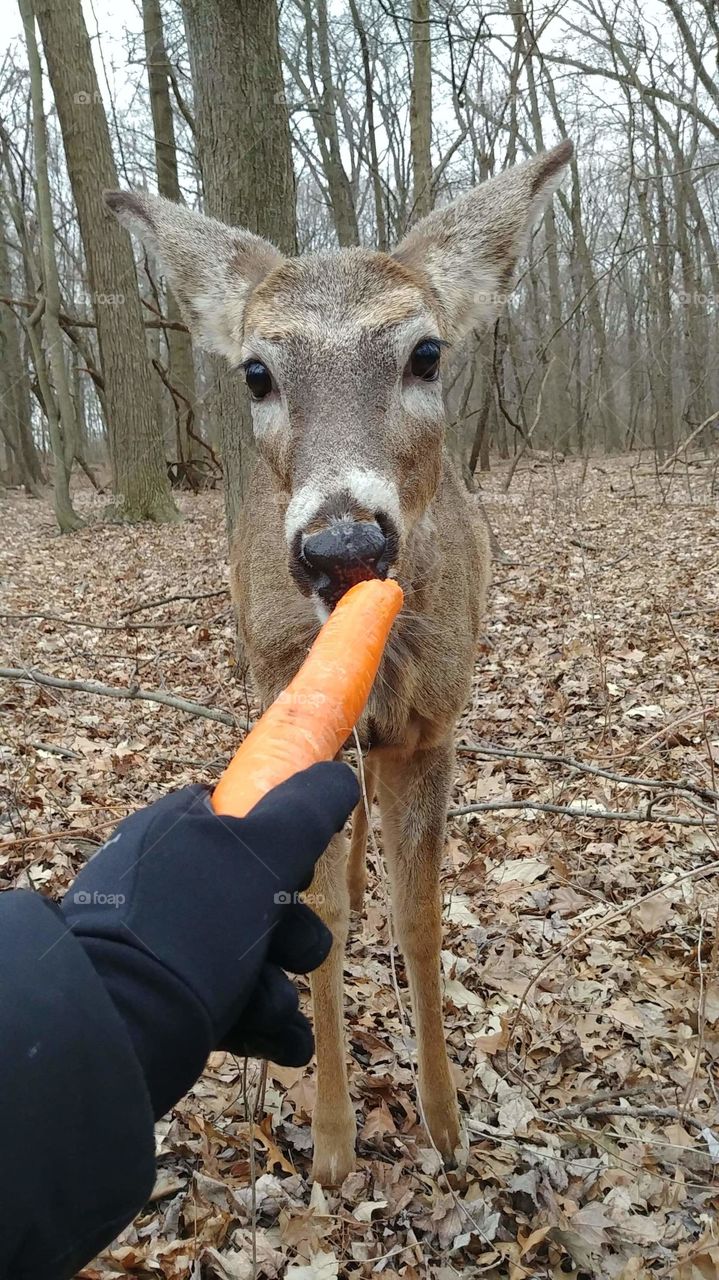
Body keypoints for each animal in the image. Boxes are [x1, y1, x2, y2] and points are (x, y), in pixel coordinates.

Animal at [106, 138, 572, 1186]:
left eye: (426, 353)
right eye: (255, 372)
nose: (343, 545)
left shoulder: (436, 723)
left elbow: (422, 917)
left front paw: (446, 1125)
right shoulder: (284, 694)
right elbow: (312, 912)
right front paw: (328, 1144)